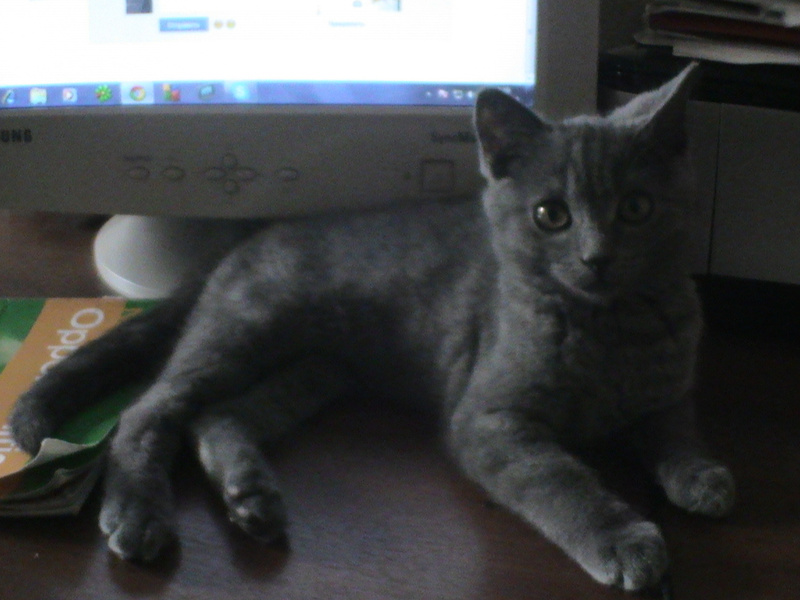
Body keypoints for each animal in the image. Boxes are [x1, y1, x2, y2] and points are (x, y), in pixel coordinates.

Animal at [10, 63, 735, 593]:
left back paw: (250, 497)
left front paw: (702, 475)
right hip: (245, 328)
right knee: (148, 410)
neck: (610, 329)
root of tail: (242, 240)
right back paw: (140, 513)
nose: (596, 257)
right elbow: (560, 481)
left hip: (315, 368)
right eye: (550, 214)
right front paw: (623, 538)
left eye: (637, 207)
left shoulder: (669, 389)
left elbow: (675, 426)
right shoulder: (489, 419)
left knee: (218, 417)